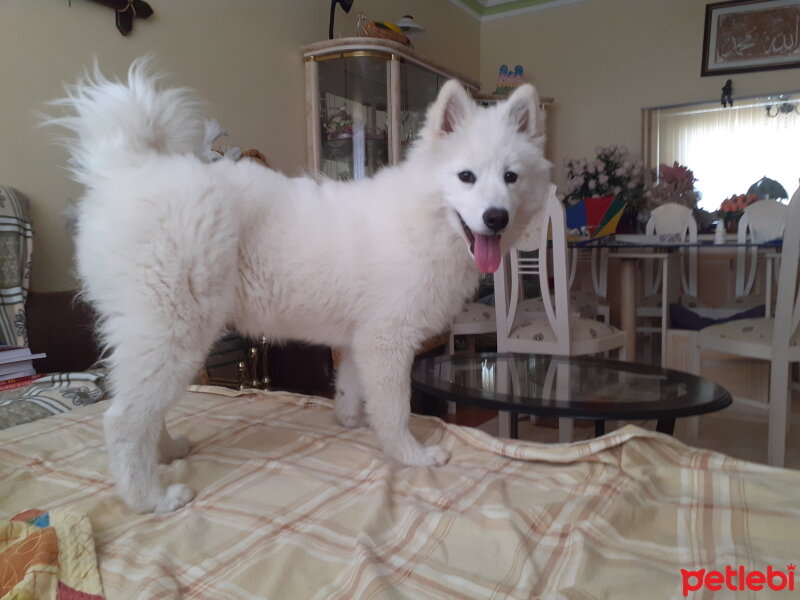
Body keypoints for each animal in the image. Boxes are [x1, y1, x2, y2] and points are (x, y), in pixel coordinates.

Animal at [48, 58, 552, 512]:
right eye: (466, 176)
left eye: (511, 177)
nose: (495, 217)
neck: (426, 220)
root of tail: (127, 168)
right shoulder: (387, 341)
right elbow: (396, 409)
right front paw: (411, 455)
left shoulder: (358, 341)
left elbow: (351, 388)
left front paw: (350, 422)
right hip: (173, 330)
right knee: (123, 421)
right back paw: (150, 498)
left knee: (145, 411)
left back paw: (168, 452)